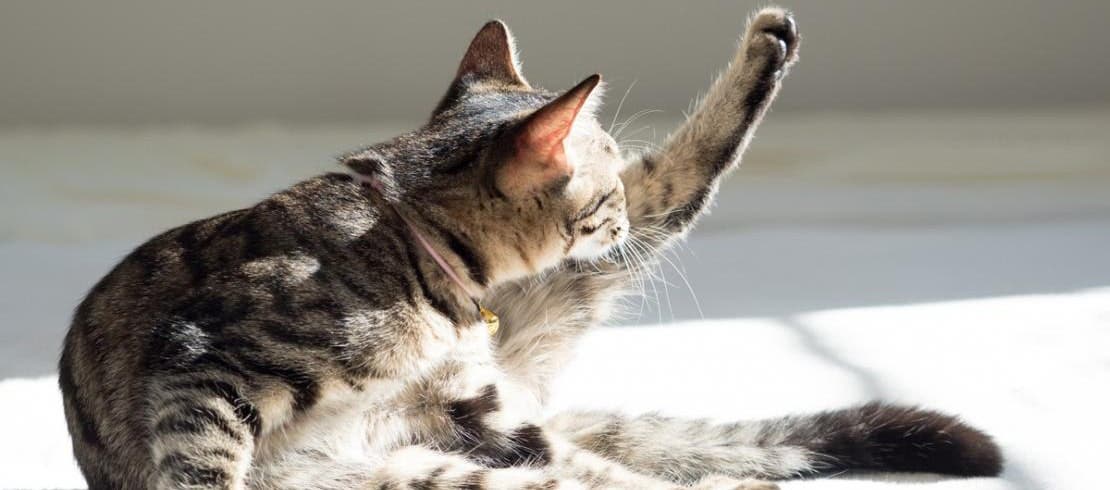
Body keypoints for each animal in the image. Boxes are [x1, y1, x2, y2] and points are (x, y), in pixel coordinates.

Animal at [58, 8, 1007, 488]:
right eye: (603, 180)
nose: (615, 211)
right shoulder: (202, 363)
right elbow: (203, 469)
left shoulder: (477, 420)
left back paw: (769, 41)